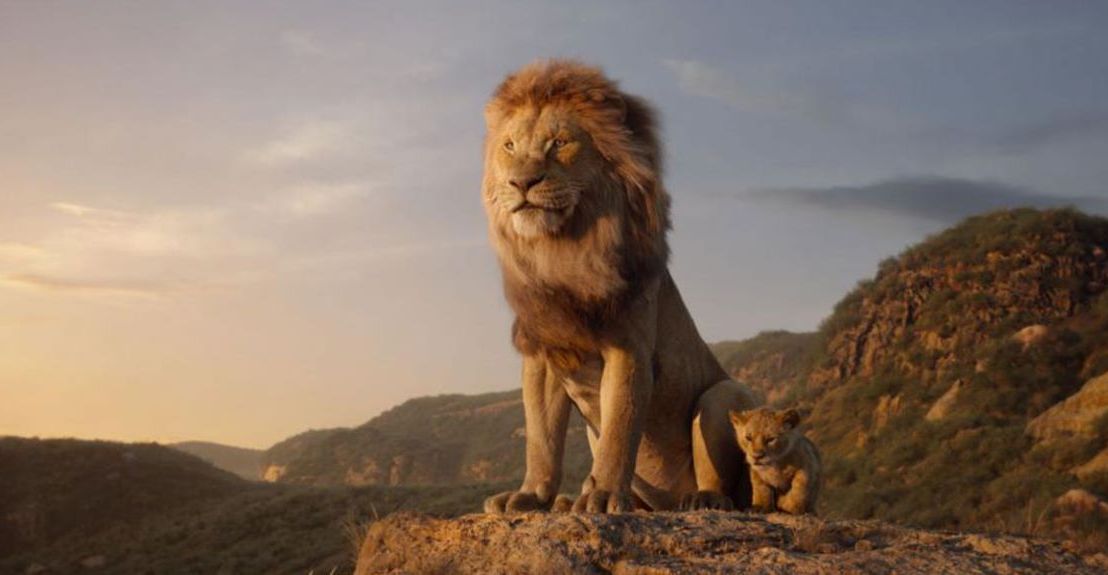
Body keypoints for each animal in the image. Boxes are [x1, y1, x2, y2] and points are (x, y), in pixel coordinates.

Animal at [480, 60, 760, 514]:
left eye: (559, 143)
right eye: (509, 146)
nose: (521, 183)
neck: (562, 251)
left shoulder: (628, 347)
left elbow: (619, 429)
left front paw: (604, 496)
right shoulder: (544, 353)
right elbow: (541, 438)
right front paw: (531, 496)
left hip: (724, 394)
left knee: (725, 483)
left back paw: (702, 500)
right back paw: (570, 502)